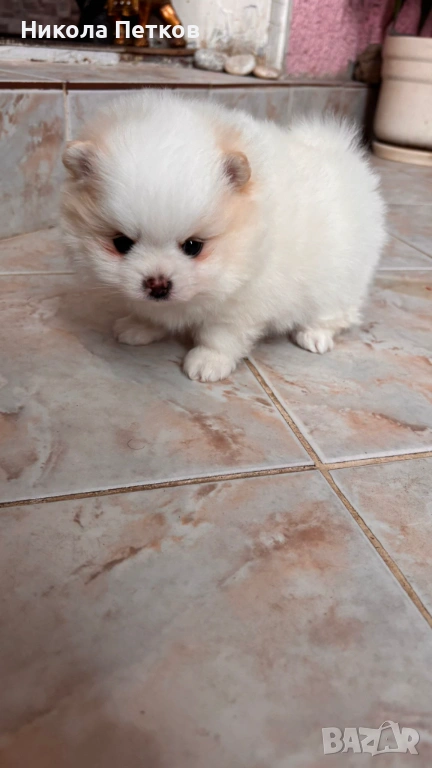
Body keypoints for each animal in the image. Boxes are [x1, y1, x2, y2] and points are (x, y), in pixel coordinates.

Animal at [61, 90, 386, 382]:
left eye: (193, 246)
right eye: (121, 243)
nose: (157, 285)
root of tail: (340, 154)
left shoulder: (244, 301)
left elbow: (221, 334)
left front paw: (208, 361)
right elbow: (150, 312)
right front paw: (140, 326)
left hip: (342, 276)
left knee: (336, 311)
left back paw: (314, 335)